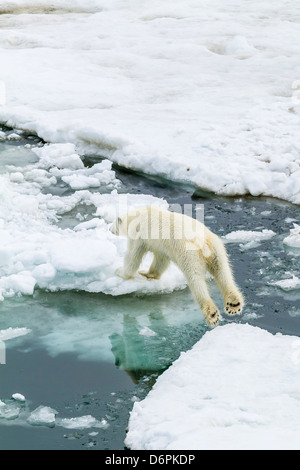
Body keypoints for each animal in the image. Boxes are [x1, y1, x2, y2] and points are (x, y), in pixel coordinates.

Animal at [110, 206, 244, 326]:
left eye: (113, 223)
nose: (109, 228)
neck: (136, 216)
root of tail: (203, 242)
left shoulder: (138, 235)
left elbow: (133, 257)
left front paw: (120, 271)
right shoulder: (162, 246)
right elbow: (161, 260)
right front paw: (148, 273)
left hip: (189, 254)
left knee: (195, 279)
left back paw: (211, 314)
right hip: (216, 249)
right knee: (223, 272)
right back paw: (234, 304)